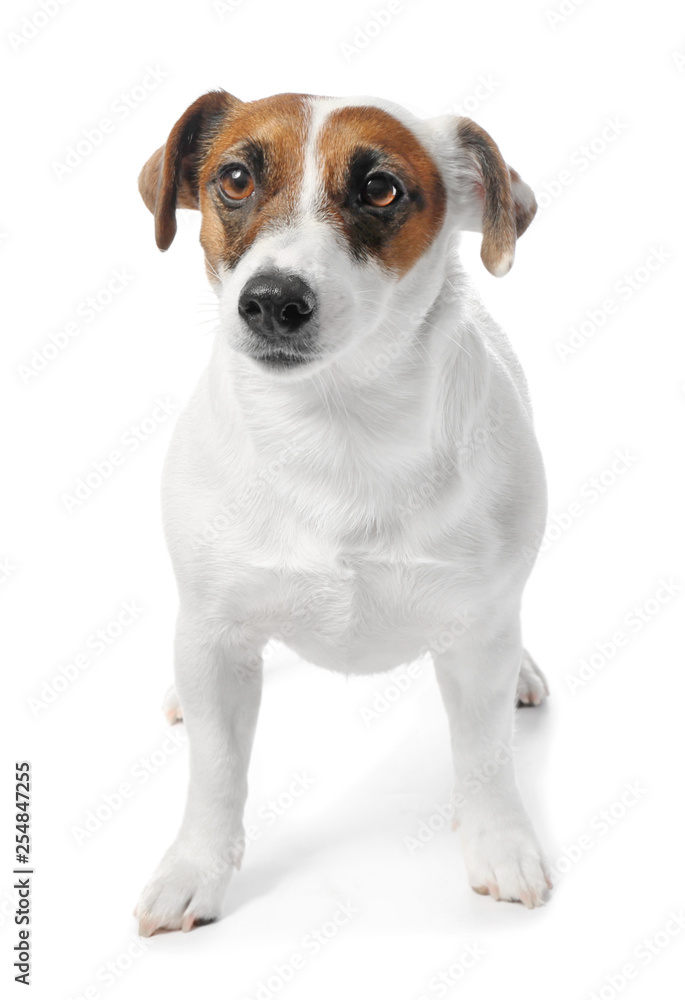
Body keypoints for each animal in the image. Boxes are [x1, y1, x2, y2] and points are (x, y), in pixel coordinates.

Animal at [132, 88, 552, 936]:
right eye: (234, 178)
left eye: (381, 189)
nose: (271, 300)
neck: (334, 428)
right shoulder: (215, 637)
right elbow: (216, 773)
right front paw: (194, 868)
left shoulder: (476, 635)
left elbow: (485, 758)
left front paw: (499, 844)